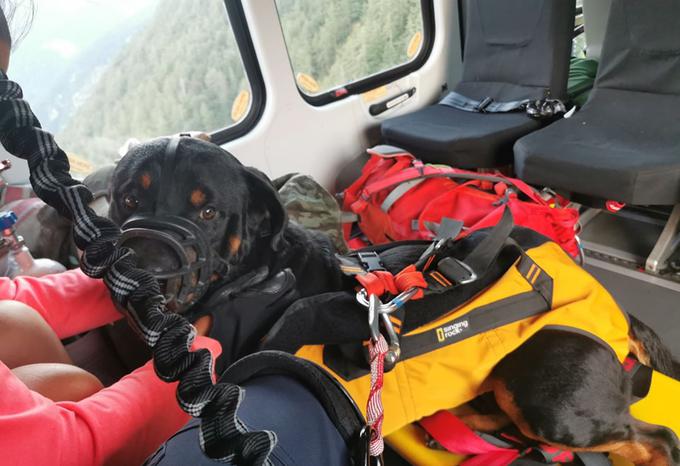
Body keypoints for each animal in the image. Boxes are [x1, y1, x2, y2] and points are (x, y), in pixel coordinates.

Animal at [110, 137, 680, 464]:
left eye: (207, 212)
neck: (256, 275)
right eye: (128, 199)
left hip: (548, 396)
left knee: (652, 436)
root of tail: (622, 316)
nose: (145, 272)